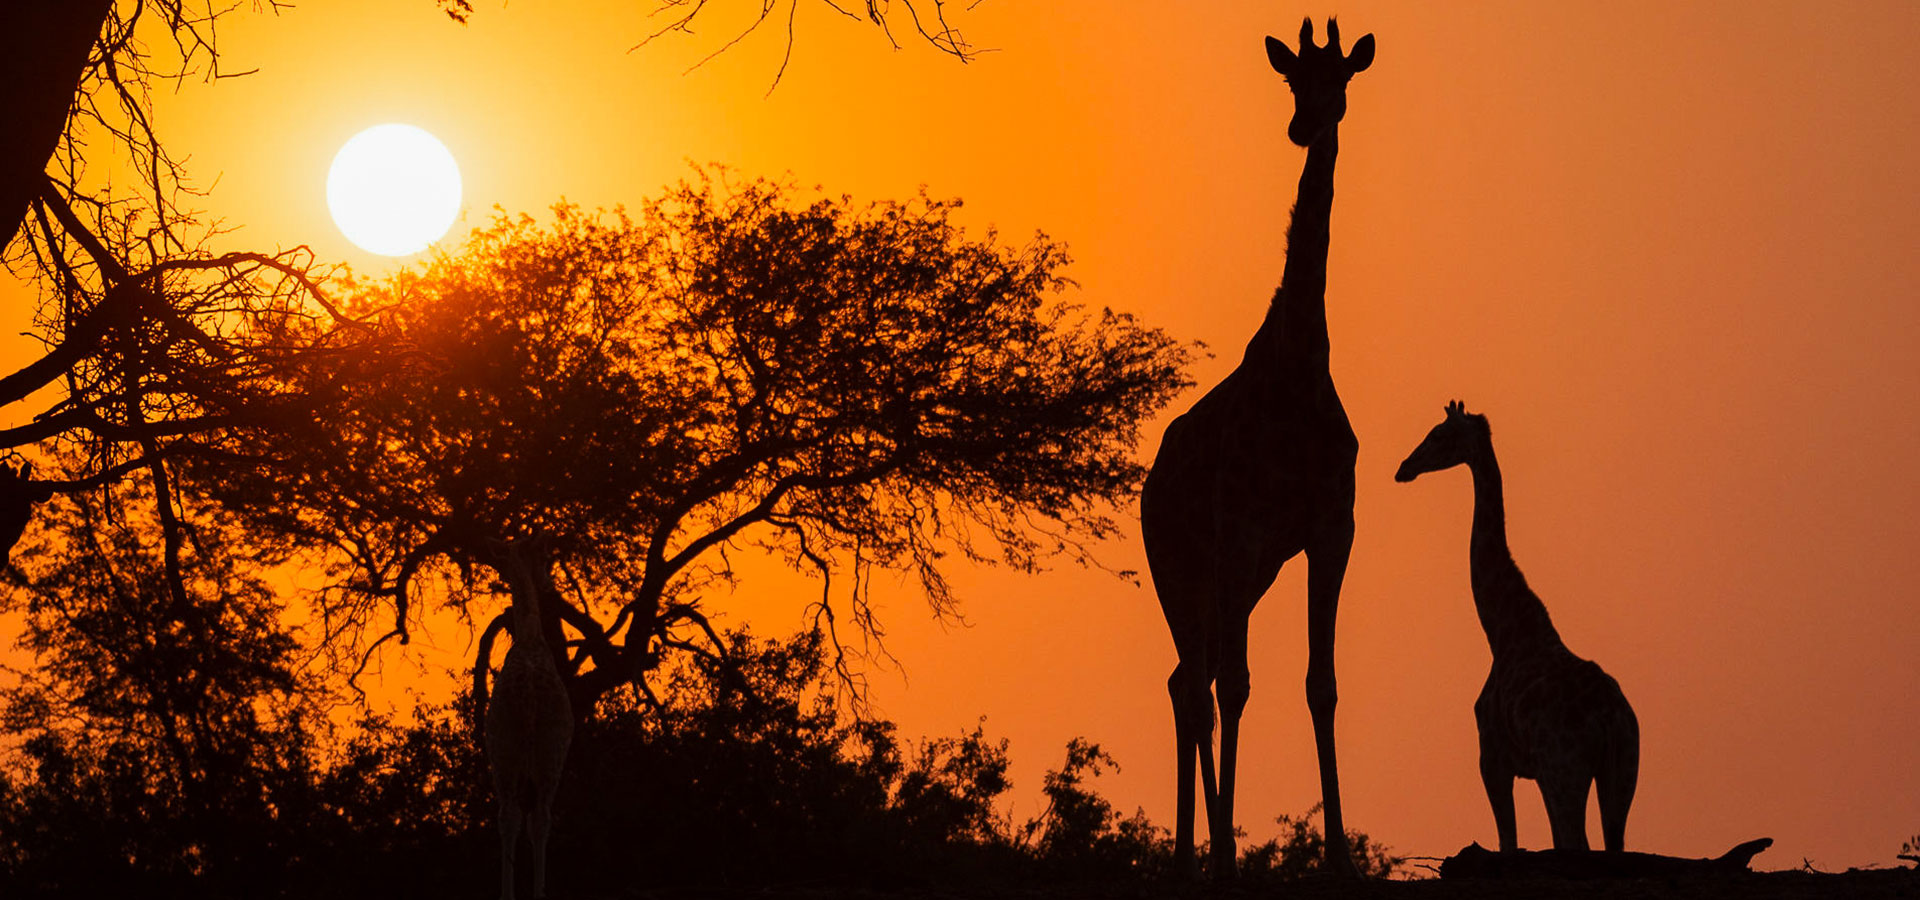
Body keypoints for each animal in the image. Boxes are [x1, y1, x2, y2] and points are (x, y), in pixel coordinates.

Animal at [484, 538, 575, 900]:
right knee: (539, 817)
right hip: (549, 752)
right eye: (544, 558)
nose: (548, 583)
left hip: (508, 753)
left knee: (510, 815)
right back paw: (537, 892)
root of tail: (531, 703)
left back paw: (509, 894)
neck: (530, 637)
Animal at [1139, 17, 1374, 878]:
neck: (1301, 360)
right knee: (1197, 684)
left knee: (1191, 677)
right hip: (1180, 569)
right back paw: (1195, 856)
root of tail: (1149, 484)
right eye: (1290, 80)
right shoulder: (1240, 536)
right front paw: (1228, 854)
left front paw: (1338, 856)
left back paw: (1193, 852)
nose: (1305, 125)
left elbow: (1321, 683)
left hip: (1239, 579)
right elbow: (1240, 687)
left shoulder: (1330, 529)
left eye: (1341, 77)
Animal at [1395, 401, 1640, 852]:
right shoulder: (1534, 770)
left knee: (1576, 842)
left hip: (1565, 770)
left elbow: (1508, 841)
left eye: (1438, 433)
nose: (1404, 467)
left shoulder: (1493, 758)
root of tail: (1611, 716)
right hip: (1622, 771)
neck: (1502, 631)